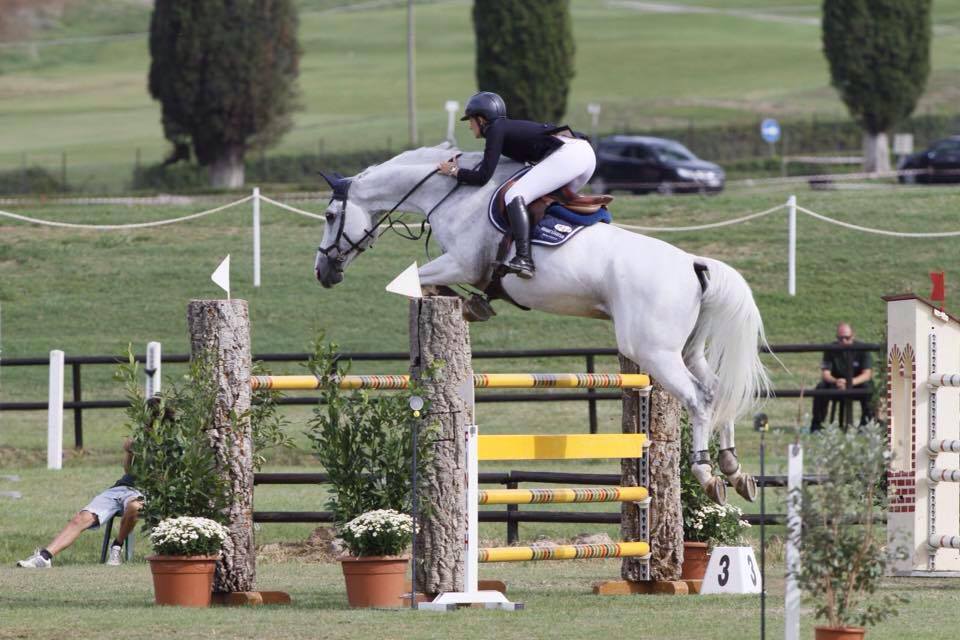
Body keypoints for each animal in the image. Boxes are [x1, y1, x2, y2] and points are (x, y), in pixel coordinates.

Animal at [316, 145, 772, 504]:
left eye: (329, 215)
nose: (324, 272)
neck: (452, 196)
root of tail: (694, 263)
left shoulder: (462, 262)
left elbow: (418, 280)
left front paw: (465, 302)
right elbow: (433, 285)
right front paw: (472, 305)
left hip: (653, 351)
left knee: (699, 399)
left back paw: (707, 474)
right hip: (686, 350)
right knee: (718, 391)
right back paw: (734, 469)